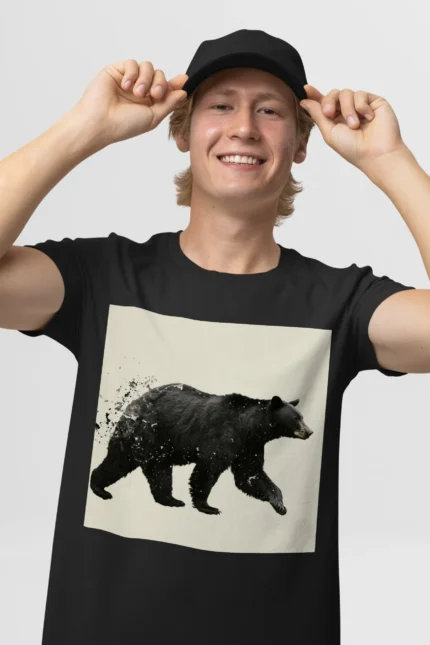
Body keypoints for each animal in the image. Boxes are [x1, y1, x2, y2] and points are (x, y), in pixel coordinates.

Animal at [90, 382, 313, 515]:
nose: (310, 431)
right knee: (130, 463)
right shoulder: (222, 436)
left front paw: (279, 504)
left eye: (302, 416)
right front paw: (207, 506)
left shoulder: (249, 446)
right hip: (148, 433)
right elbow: (208, 469)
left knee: (137, 466)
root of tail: (133, 404)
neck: (248, 427)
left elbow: (251, 474)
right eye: (296, 418)